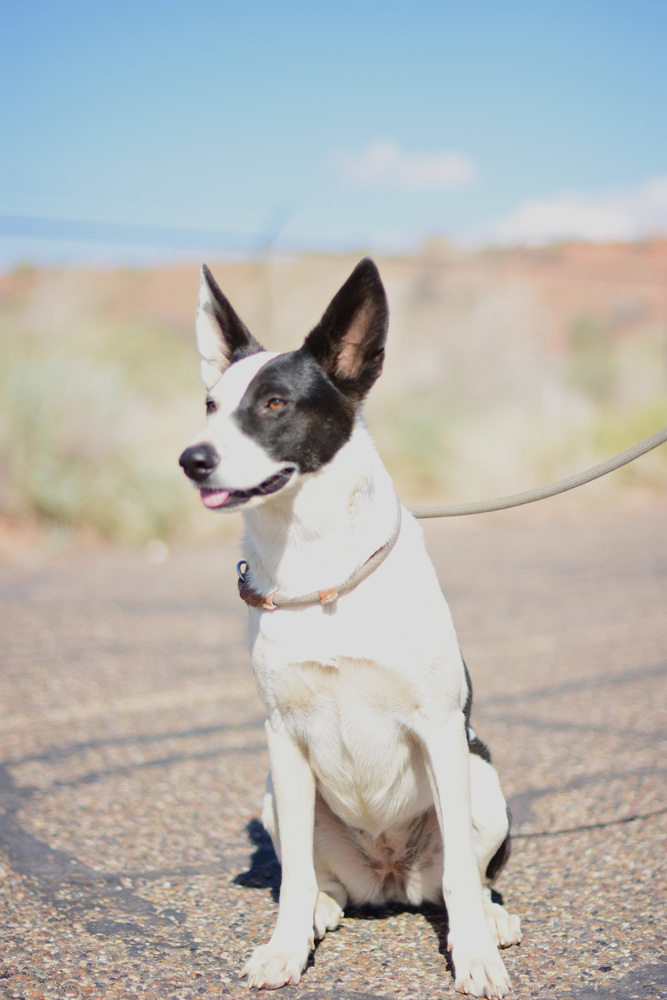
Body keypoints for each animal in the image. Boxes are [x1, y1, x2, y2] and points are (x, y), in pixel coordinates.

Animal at [180, 262, 524, 996]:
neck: (319, 573)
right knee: (315, 876)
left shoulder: (438, 728)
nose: (191, 459)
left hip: (480, 776)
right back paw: (320, 909)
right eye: (210, 406)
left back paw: (489, 919)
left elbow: (461, 874)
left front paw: (475, 957)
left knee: (465, 876)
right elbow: (290, 880)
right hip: (278, 797)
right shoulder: (282, 739)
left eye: (274, 404)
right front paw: (285, 948)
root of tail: (389, 878)